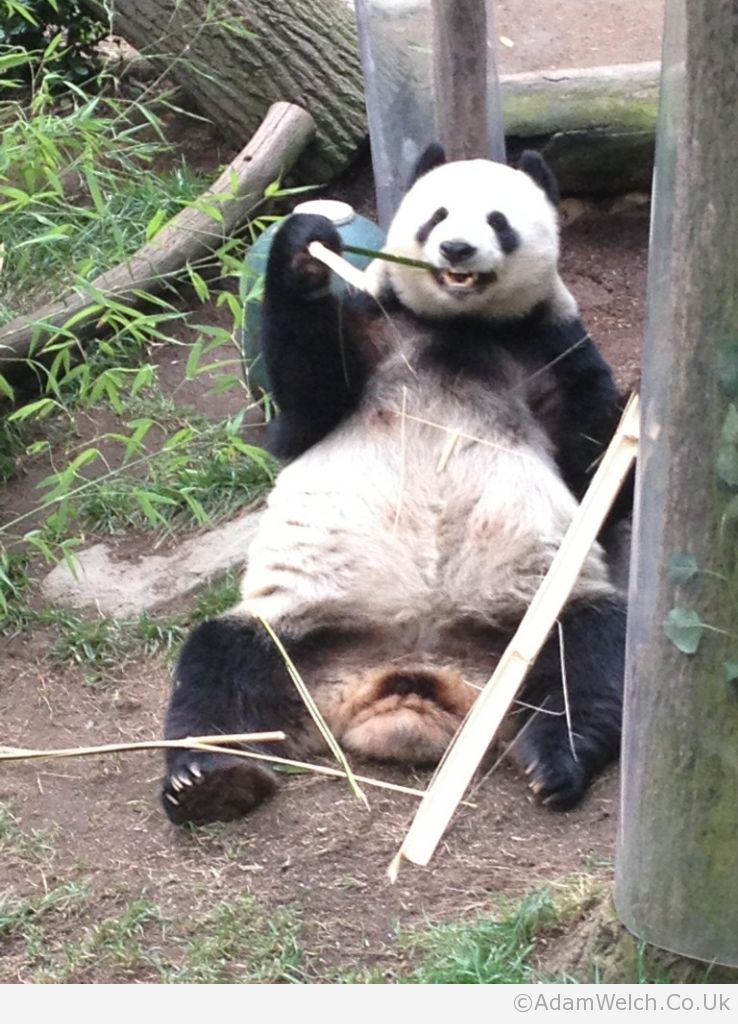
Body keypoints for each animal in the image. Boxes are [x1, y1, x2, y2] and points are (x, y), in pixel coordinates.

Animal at [162, 148, 626, 827]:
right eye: (437, 215)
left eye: (498, 220)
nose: (457, 248)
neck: (460, 330)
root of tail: (409, 687)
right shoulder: (373, 330)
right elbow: (304, 404)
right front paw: (305, 247)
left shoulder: (553, 345)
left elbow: (590, 467)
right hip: (302, 632)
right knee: (220, 662)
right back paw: (210, 779)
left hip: (533, 621)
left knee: (591, 656)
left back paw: (555, 759)